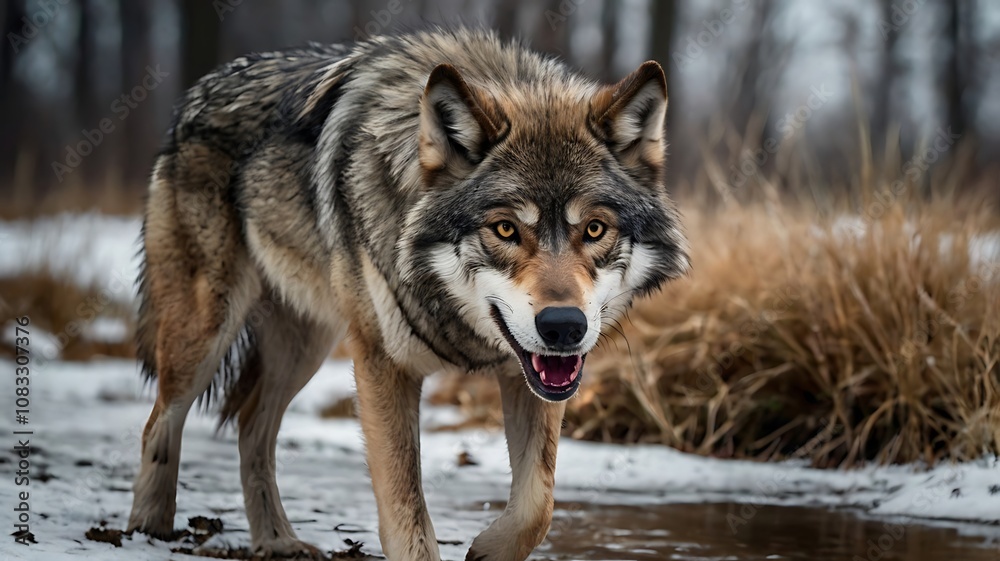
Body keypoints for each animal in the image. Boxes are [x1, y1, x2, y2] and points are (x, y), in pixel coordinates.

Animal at [126, 28, 689, 561]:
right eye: (505, 229)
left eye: (594, 229)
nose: (564, 327)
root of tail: (198, 91)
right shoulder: (383, 365)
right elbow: (406, 508)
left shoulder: (532, 377)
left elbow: (538, 504)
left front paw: (488, 549)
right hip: (205, 333)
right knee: (159, 421)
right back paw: (147, 528)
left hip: (306, 344)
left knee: (250, 428)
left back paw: (276, 541)